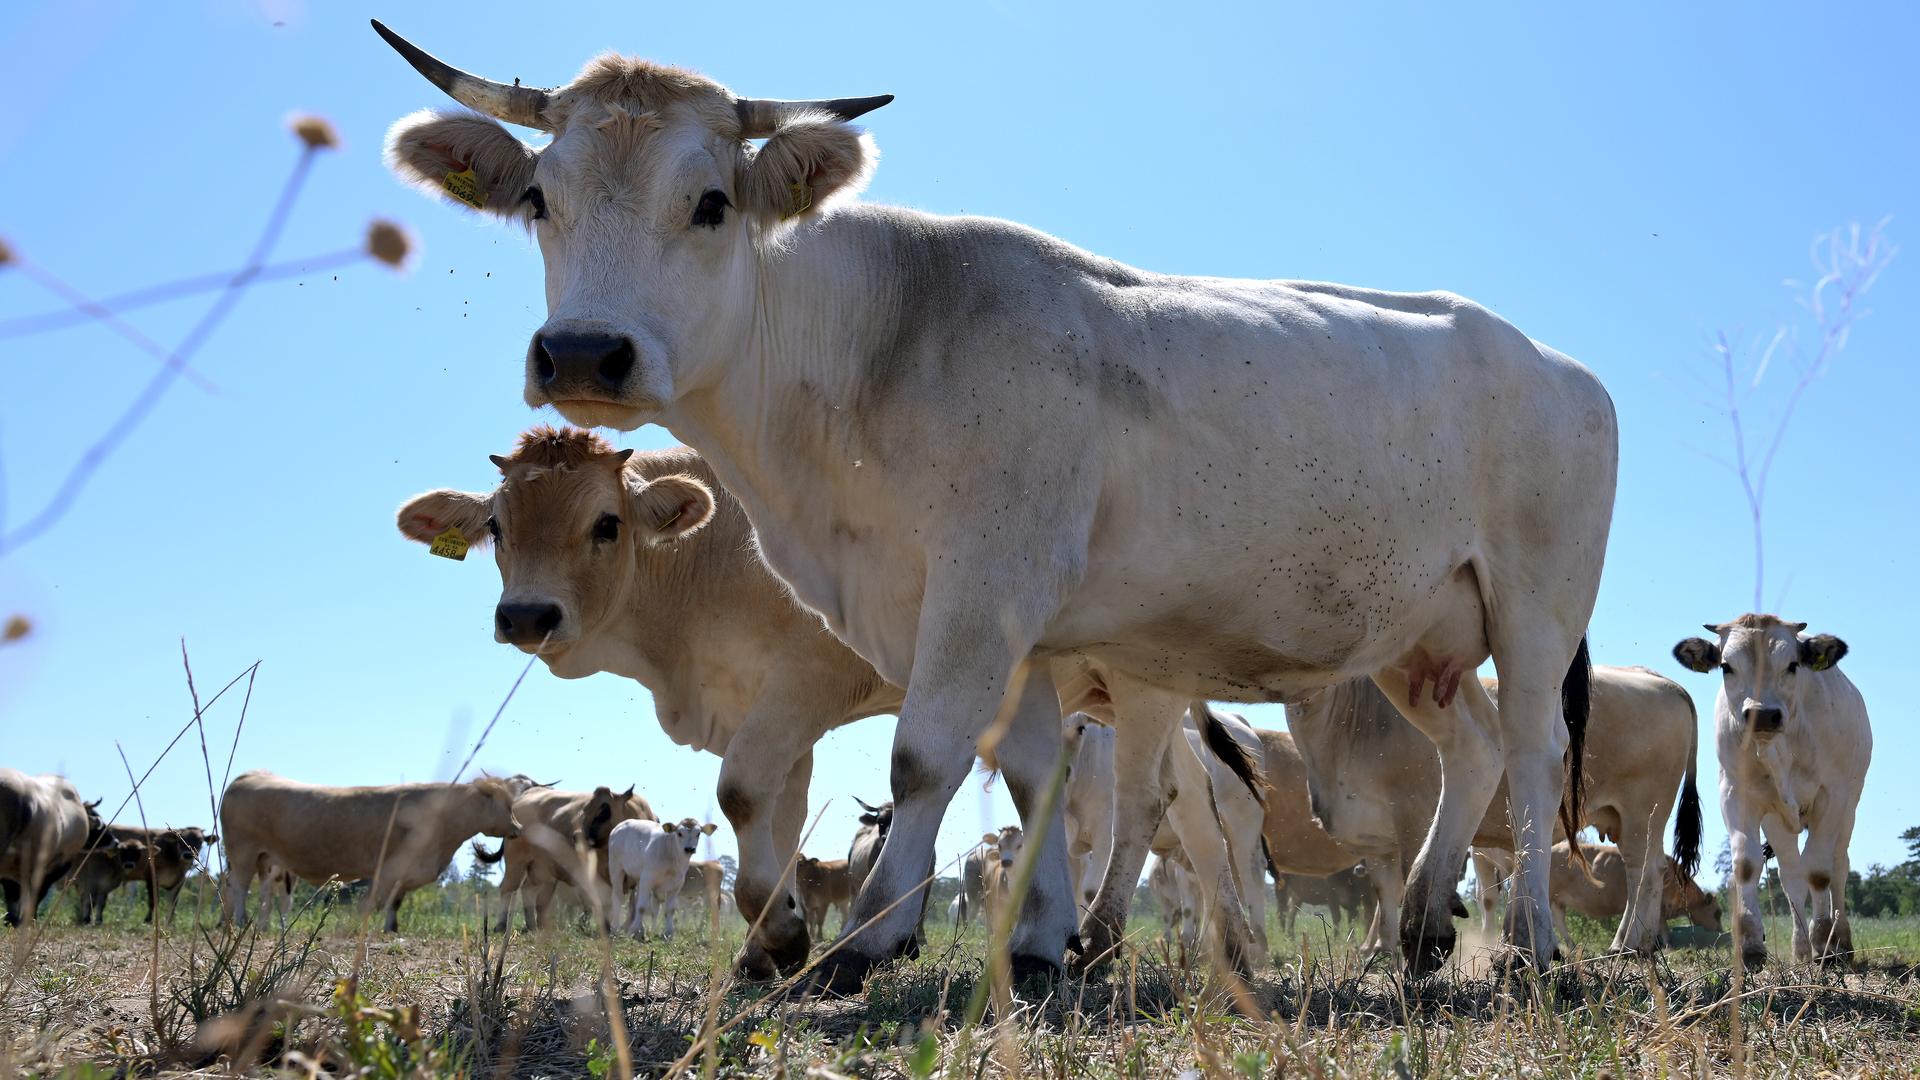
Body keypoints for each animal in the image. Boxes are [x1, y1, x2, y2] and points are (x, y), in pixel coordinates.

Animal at [220, 771, 521, 932]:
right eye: (507, 805)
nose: (518, 827)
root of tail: (252, 774)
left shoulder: (405, 873)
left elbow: (395, 902)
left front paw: (392, 928)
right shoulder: (391, 869)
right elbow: (379, 902)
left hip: (265, 859)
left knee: (264, 892)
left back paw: (260, 925)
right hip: (242, 852)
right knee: (239, 887)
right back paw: (240, 920)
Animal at [470, 784, 653, 931]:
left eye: (604, 811)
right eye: (584, 809)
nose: (577, 836)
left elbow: (635, 902)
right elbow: (606, 901)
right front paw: (609, 928)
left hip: (540, 869)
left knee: (528, 890)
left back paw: (532, 926)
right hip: (517, 861)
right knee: (508, 888)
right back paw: (501, 926)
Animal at [1289, 664, 1701, 956]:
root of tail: (1661, 681)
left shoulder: (1413, 816)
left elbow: (1410, 880)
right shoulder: (1376, 841)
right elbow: (1384, 893)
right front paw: (1381, 949)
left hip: (1643, 809)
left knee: (1644, 872)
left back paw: (1628, 944)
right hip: (1621, 815)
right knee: (1645, 871)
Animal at [1673, 615, 1869, 967]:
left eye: (1792, 665)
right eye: (1726, 666)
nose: (1762, 715)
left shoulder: (1832, 797)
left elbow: (1820, 872)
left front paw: (1824, 943)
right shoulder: (1736, 793)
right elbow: (1748, 864)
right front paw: (1752, 946)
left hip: (1849, 809)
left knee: (1838, 868)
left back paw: (1840, 943)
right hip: (1777, 822)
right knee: (1792, 877)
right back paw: (1801, 948)